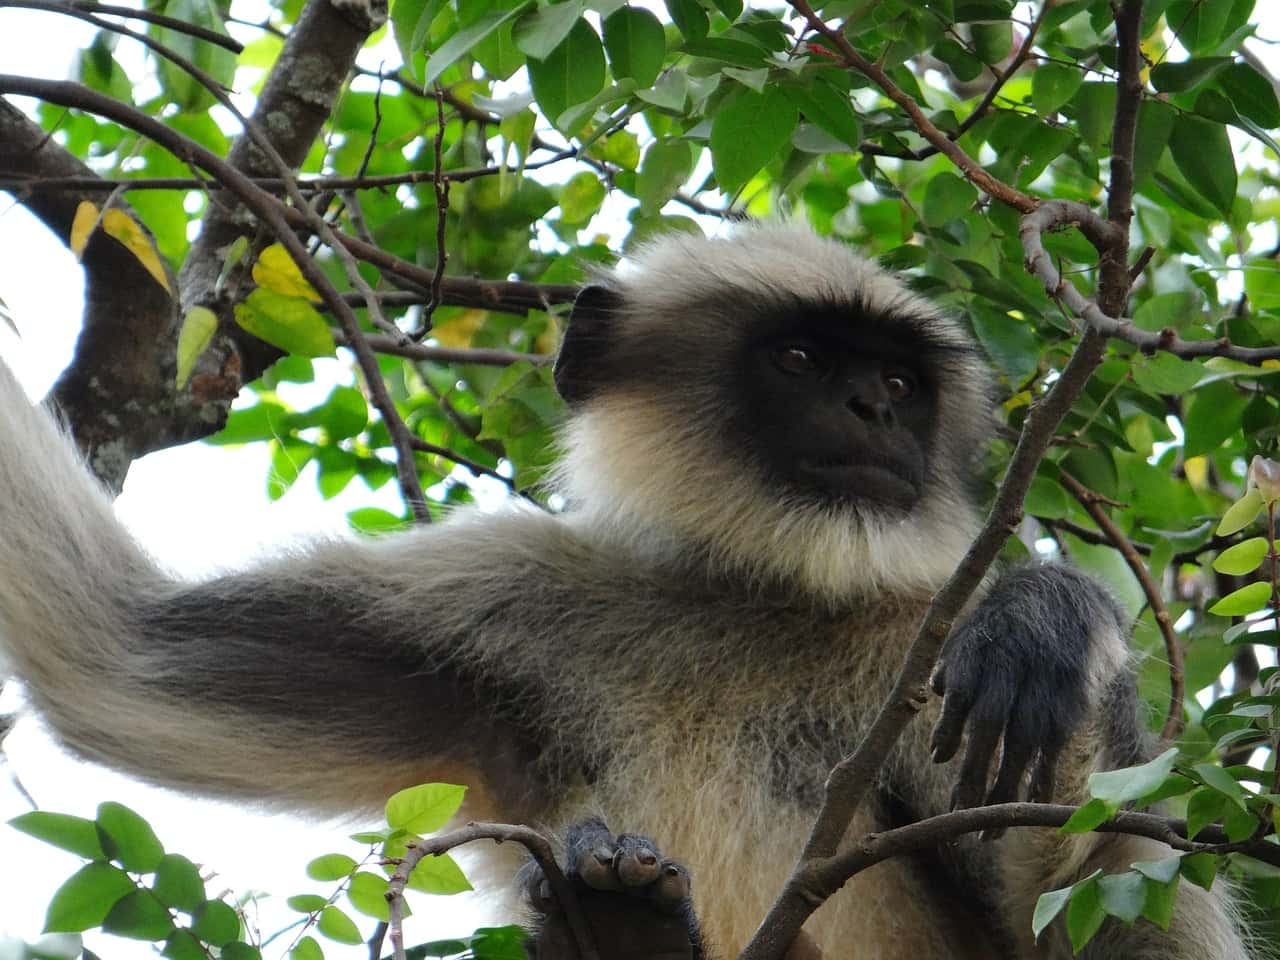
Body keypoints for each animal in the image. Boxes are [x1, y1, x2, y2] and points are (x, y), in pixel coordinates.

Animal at [0, 225, 1252, 959]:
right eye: (801, 360)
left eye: (897, 382)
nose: (872, 413)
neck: (756, 594)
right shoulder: (503, 599)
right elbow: (112, 656)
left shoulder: (916, 629)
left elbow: (1097, 913)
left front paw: (1049, 620)